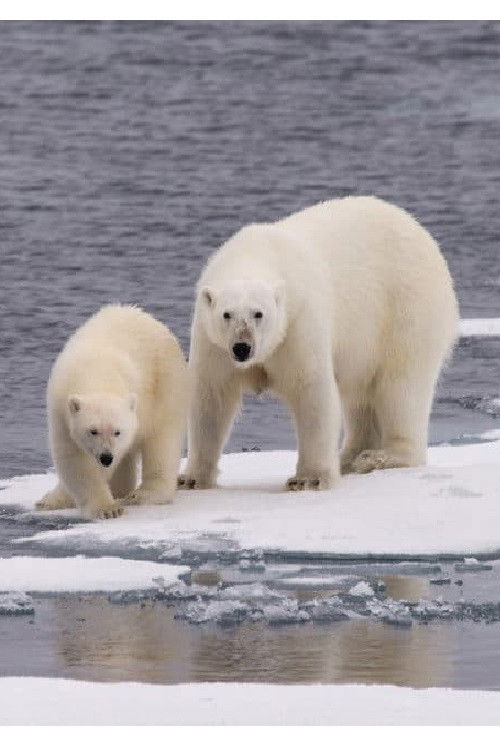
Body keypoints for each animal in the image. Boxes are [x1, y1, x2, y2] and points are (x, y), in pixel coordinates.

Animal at [36, 304, 187, 519]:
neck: (97, 372)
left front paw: (109, 508)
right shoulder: (61, 410)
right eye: (93, 431)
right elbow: (75, 458)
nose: (106, 457)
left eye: (117, 431)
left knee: (162, 439)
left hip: (167, 384)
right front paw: (107, 508)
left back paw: (143, 494)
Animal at [178, 196, 459, 492]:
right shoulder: (212, 341)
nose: (242, 348)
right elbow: (211, 397)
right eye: (226, 314)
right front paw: (191, 478)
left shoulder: (298, 323)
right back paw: (349, 457)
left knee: (400, 386)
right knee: (360, 395)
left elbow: (311, 389)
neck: (257, 252)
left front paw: (309, 479)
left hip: (406, 309)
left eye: (258, 313)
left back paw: (380, 457)